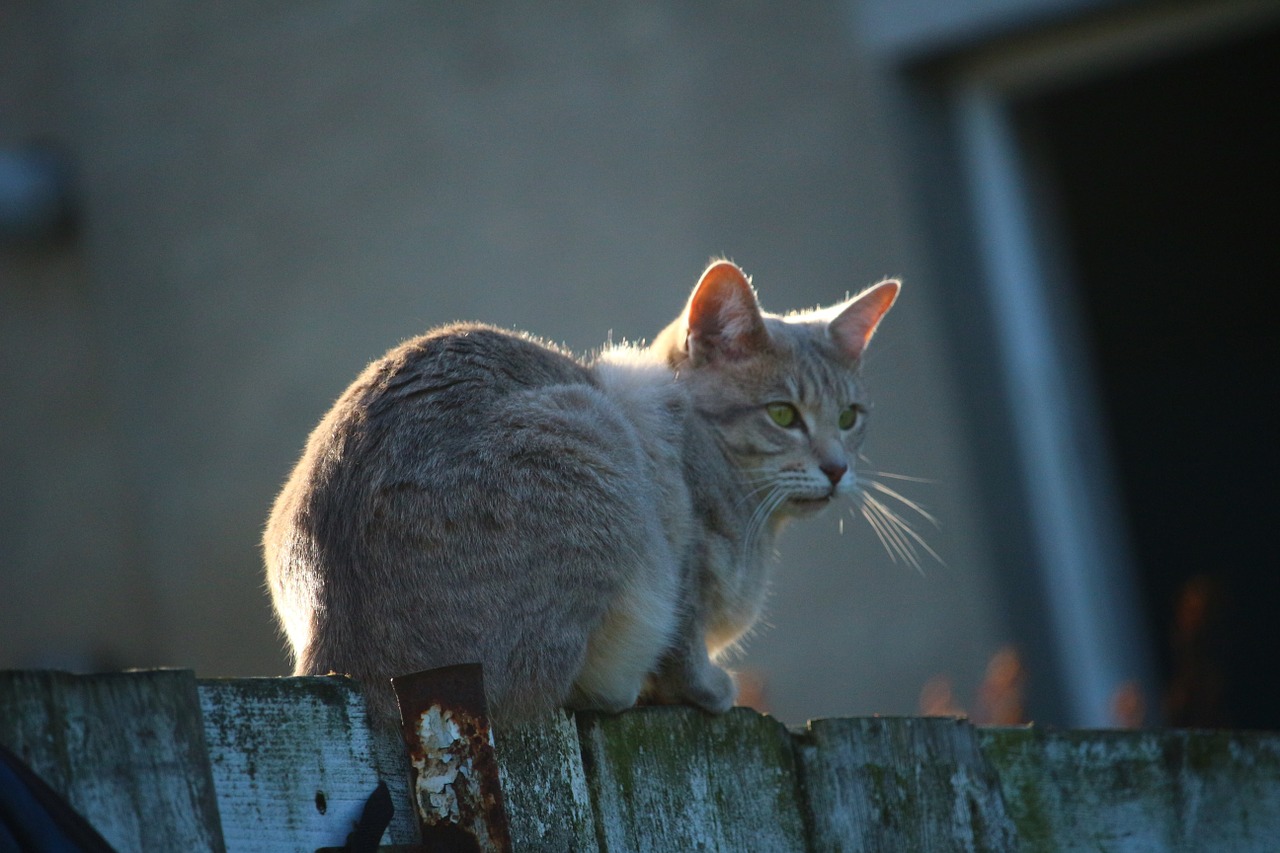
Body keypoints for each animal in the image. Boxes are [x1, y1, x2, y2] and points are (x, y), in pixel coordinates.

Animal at [263, 261, 896, 722]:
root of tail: (332, 653)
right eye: (783, 414)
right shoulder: (679, 548)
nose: (837, 468)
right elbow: (684, 645)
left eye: (850, 418)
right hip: (594, 437)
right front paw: (709, 689)